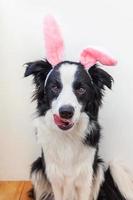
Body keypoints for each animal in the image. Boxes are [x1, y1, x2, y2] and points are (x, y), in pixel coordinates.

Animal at [24, 16, 133, 200]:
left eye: (81, 89)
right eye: (55, 87)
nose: (66, 112)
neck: (67, 138)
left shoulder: (86, 177)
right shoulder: (55, 178)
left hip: (99, 169)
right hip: (37, 168)